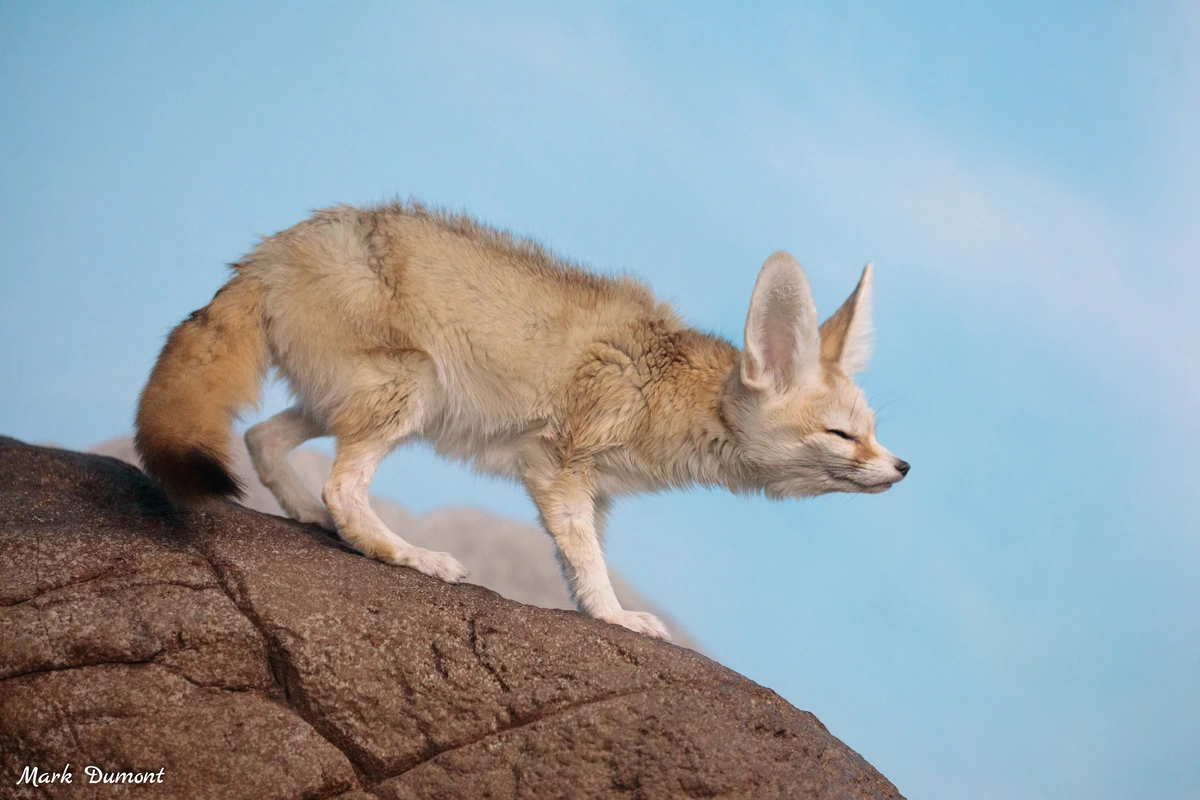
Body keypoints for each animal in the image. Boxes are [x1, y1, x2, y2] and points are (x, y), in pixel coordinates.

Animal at [135, 201, 909, 640]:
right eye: (843, 435)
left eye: (871, 429)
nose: (903, 467)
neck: (667, 386)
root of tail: (271, 250)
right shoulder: (558, 466)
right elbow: (589, 562)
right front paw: (616, 617)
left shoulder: (594, 490)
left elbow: (580, 560)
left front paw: (599, 613)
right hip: (412, 389)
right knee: (342, 487)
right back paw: (409, 554)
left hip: (351, 400)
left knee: (263, 438)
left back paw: (312, 520)